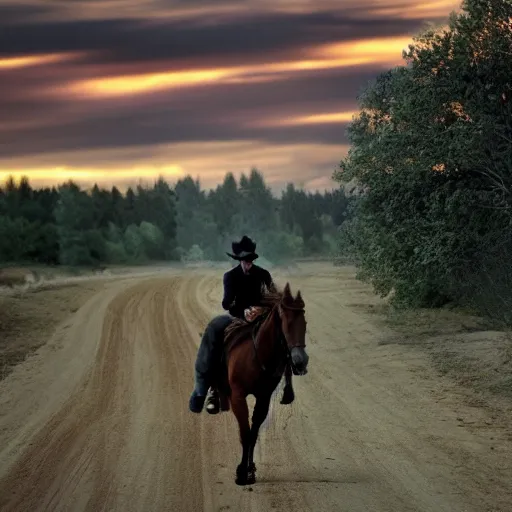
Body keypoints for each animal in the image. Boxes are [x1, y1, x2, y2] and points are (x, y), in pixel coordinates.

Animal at [220, 282, 308, 486]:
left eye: (305, 324)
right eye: (287, 324)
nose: (301, 361)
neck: (256, 355)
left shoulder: (263, 397)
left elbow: (253, 433)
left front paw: (250, 471)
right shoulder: (238, 396)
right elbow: (245, 433)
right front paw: (241, 473)